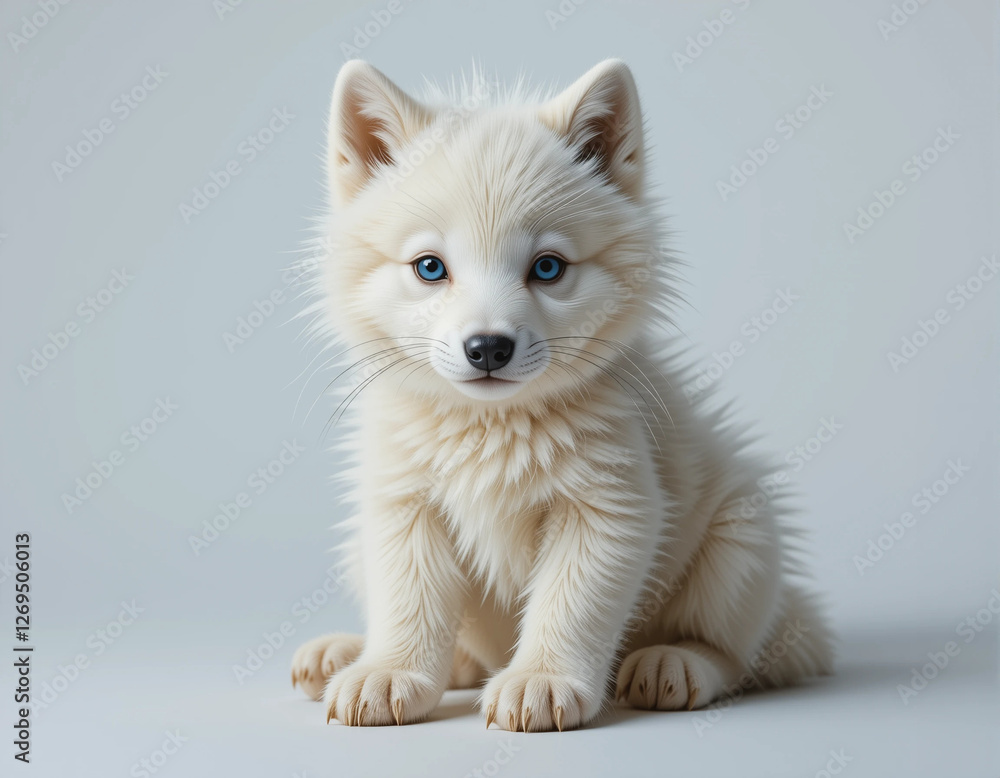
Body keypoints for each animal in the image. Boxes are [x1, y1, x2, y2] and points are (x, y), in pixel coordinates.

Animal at [290, 59, 833, 732]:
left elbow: (568, 604)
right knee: (462, 654)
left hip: (745, 531)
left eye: (547, 268)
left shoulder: (610, 505)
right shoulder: (401, 503)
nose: (488, 348)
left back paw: (675, 662)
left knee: (737, 652)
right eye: (429, 267)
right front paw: (391, 670)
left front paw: (541, 681)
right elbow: (409, 601)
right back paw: (345, 652)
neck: (491, 428)